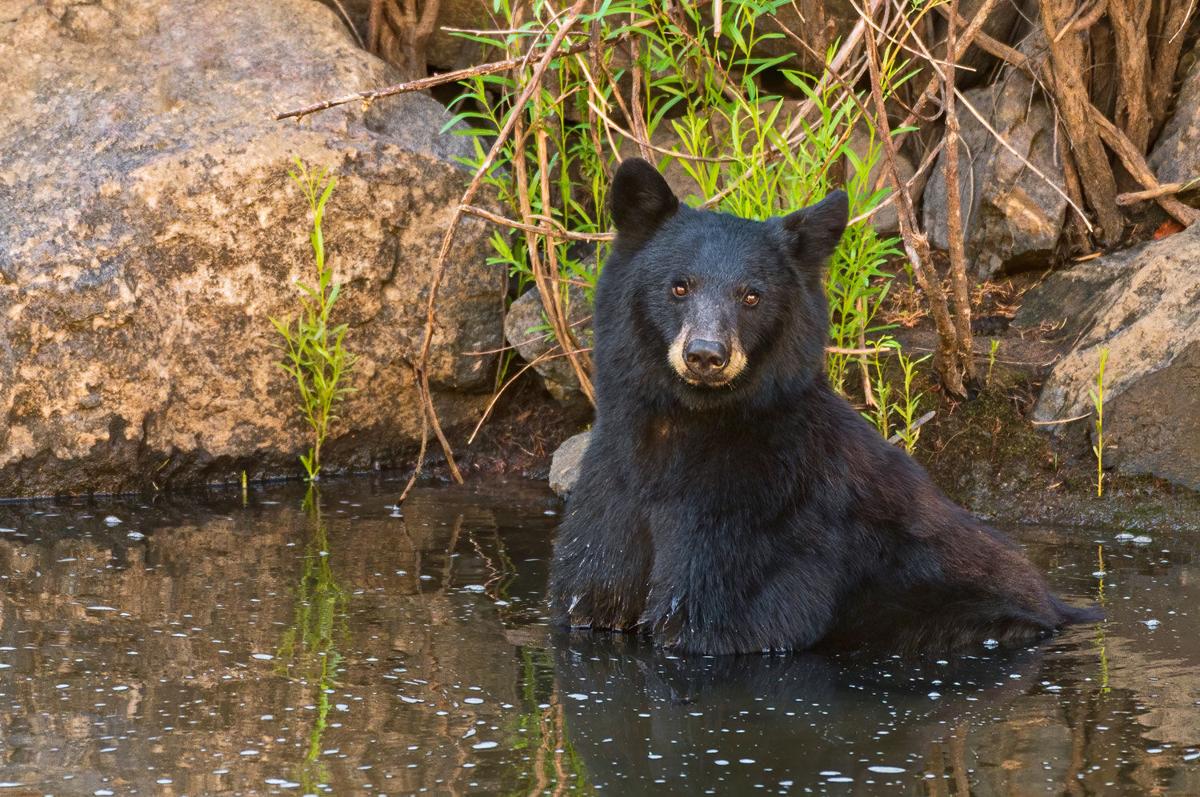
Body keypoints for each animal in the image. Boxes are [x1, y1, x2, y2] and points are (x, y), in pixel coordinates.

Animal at [548, 157, 1101, 656]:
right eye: (679, 286)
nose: (706, 354)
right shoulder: (612, 495)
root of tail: (1059, 606)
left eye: (752, 296)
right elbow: (592, 589)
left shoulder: (761, 517)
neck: (682, 431)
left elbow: (724, 619)